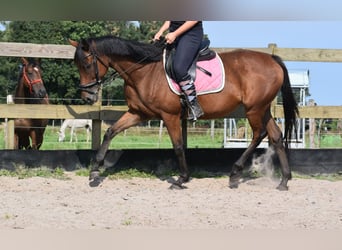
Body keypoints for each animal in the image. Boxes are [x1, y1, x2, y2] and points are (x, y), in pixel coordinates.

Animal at [69, 35, 296, 189]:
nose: (87, 97)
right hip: (262, 109)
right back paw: (284, 180)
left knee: (259, 134)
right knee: (276, 136)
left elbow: (178, 146)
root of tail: (273, 60)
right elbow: (110, 132)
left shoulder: (169, 116)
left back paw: (234, 173)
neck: (145, 71)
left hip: (254, 109)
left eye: (87, 64)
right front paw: (94, 170)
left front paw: (181, 178)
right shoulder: (138, 113)